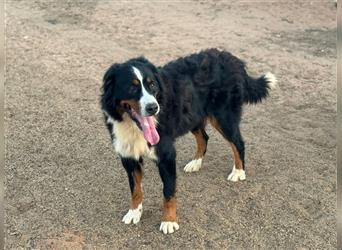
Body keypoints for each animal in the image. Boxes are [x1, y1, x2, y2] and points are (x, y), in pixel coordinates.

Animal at [100, 48, 276, 234]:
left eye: (152, 85)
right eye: (132, 87)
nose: (153, 108)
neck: (133, 126)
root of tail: (232, 59)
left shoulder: (166, 155)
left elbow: (168, 192)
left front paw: (169, 221)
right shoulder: (128, 156)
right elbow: (135, 189)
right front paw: (134, 212)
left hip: (223, 117)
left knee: (238, 143)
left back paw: (238, 172)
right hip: (194, 115)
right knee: (204, 138)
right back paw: (195, 163)